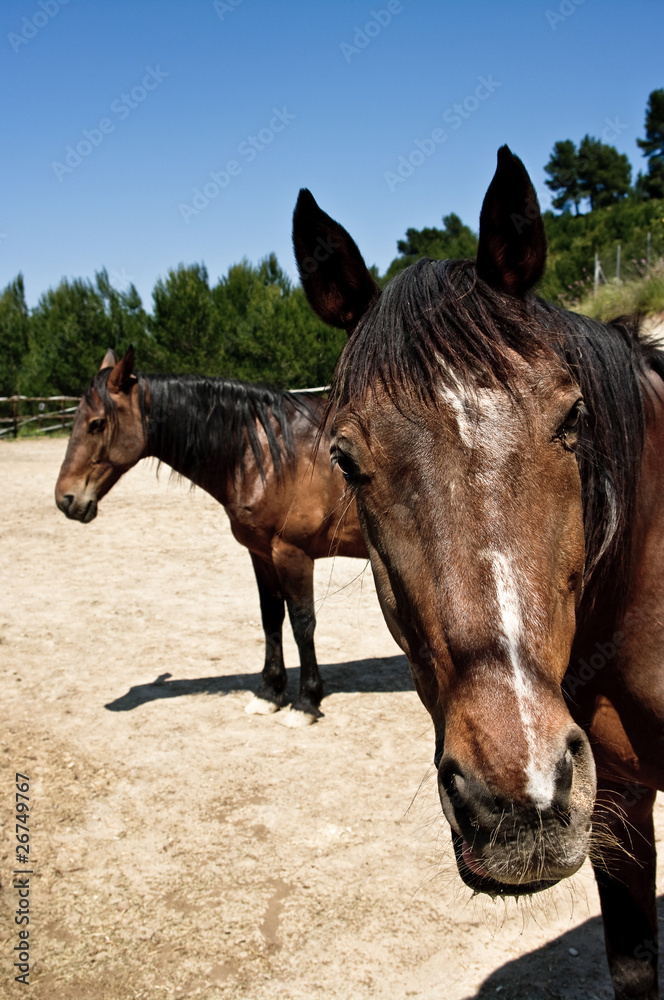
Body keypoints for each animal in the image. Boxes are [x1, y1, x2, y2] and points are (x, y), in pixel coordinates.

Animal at [54, 349, 367, 726]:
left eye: (97, 423)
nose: (66, 499)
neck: (271, 454)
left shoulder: (293, 554)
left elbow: (302, 624)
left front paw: (306, 701)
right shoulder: (262, 554)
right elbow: (271, 619)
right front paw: (269, 693)